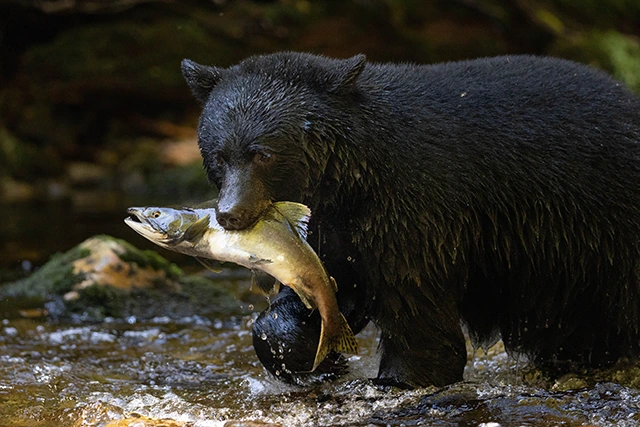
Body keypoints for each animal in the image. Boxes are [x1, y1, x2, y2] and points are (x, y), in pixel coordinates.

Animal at [181, 52, 640, 387]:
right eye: (220, 155)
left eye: (263, 154)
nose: (231, 214)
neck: (350, 179)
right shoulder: (332, 230)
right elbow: (325, 287)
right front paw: (311, 355)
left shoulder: (415, 205)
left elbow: (413, 299)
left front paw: (404, 378)